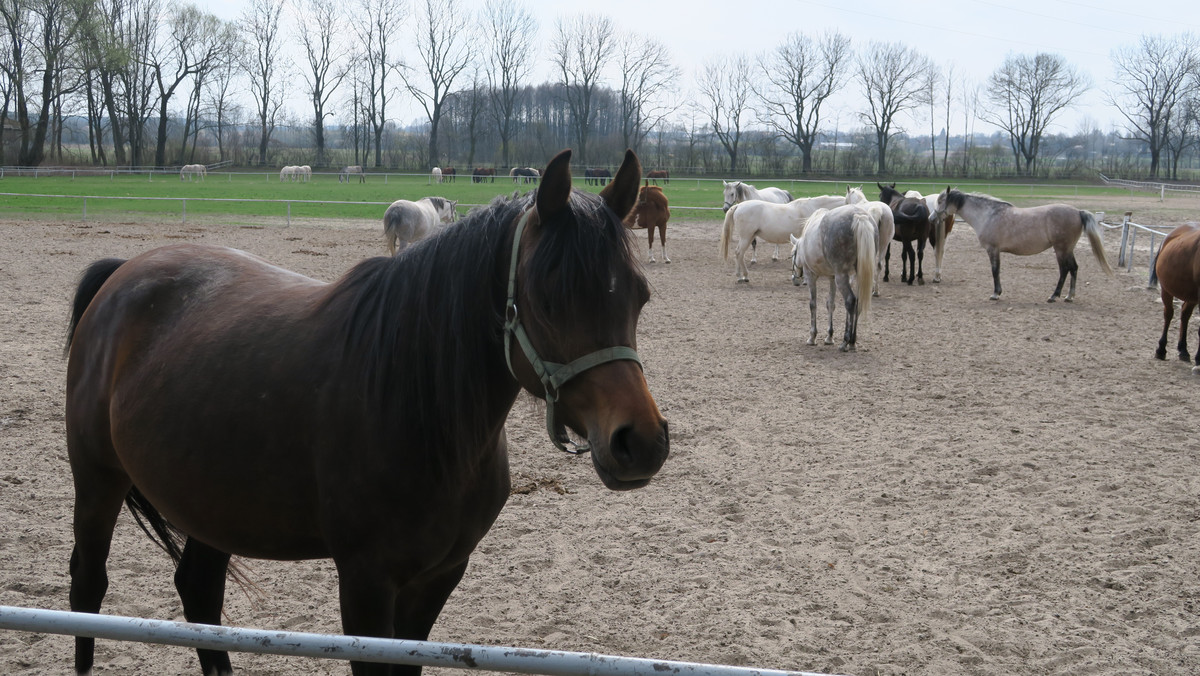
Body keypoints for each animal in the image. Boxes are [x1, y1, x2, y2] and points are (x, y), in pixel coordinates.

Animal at [792, 205, 878, 355]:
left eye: (793, 254)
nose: (795, 279)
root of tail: (859, 216)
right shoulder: (832, 277)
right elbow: (830, 304)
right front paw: (829, 336)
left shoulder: (811, 275)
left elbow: (813, 304)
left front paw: (812, 337)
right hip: (856, 276)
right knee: (857, 303)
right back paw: (852, 342)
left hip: (841, 276)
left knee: (850, 300)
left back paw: (845, 342)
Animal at [926, 184, 1113, 301]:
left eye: (941, 201)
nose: (931, 218)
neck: (988, 215)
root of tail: (1078, 212)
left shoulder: (993, 250)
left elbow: (995, 271)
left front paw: (996, 294)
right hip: (1068, 249)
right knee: (1074, 268)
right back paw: (1069, 296)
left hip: (1061, 249)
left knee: (1064, 270)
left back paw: (1054, 296)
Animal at [1152, 223, 1200, 372]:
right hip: (1166, 290)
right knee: (1169, 314)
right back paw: (1161, 350)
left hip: (1191, 296)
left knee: (1184, 314)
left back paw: (1183, 350)